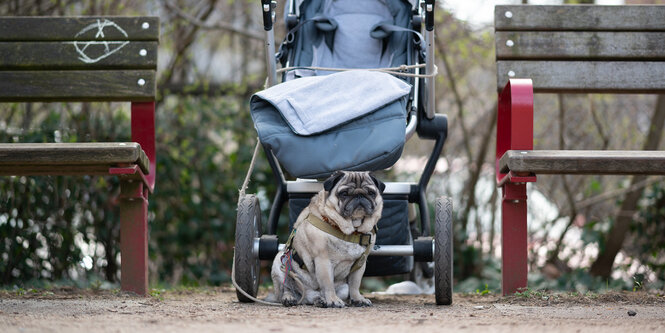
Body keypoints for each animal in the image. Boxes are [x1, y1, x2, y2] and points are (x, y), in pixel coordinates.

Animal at [268, 171, 386, 306]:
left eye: (371, 193)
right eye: (344, 193)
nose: (359, 195)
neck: (352, 230)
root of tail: (306, 296)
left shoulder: (360, 264)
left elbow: (355, 285)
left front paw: (358, 299)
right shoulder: (323, 260)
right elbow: (328, 283)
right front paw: (333, 300)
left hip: (343, 288)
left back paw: (321, 300)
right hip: (280, 262)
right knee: (286, 287)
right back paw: (289, 298)